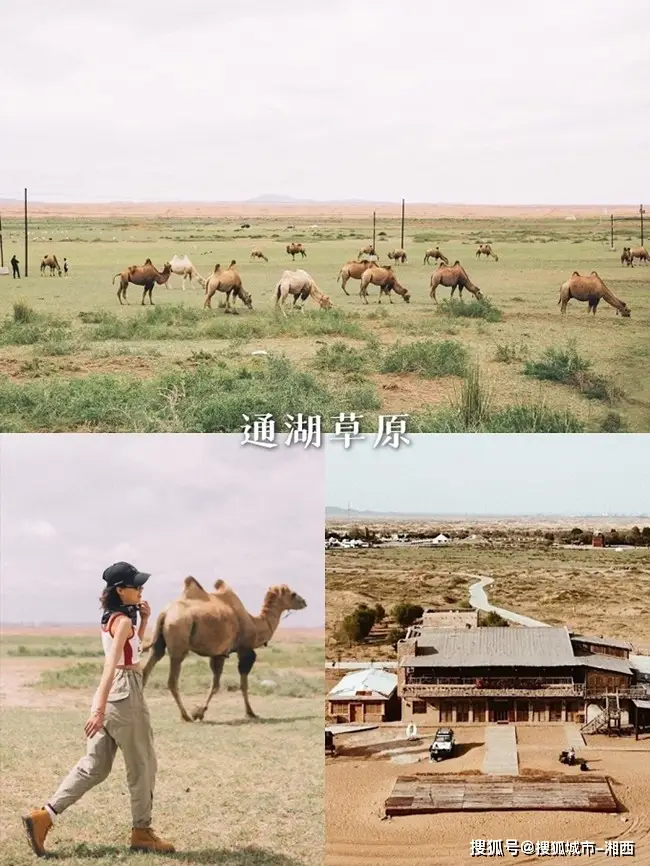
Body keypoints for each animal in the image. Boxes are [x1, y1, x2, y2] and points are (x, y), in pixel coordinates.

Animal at [141, 572, 306, 724]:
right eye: (293, 593)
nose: (304, 601)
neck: (255, 624)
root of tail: (165, 613)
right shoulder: (244, 650)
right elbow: (242, 684)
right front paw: (250, 713)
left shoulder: (218, 653)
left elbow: (216, 683)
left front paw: (200, 712)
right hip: (179, 640)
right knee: (172, 681)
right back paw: (185, 716)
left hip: (158, 642)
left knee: (146, 669)